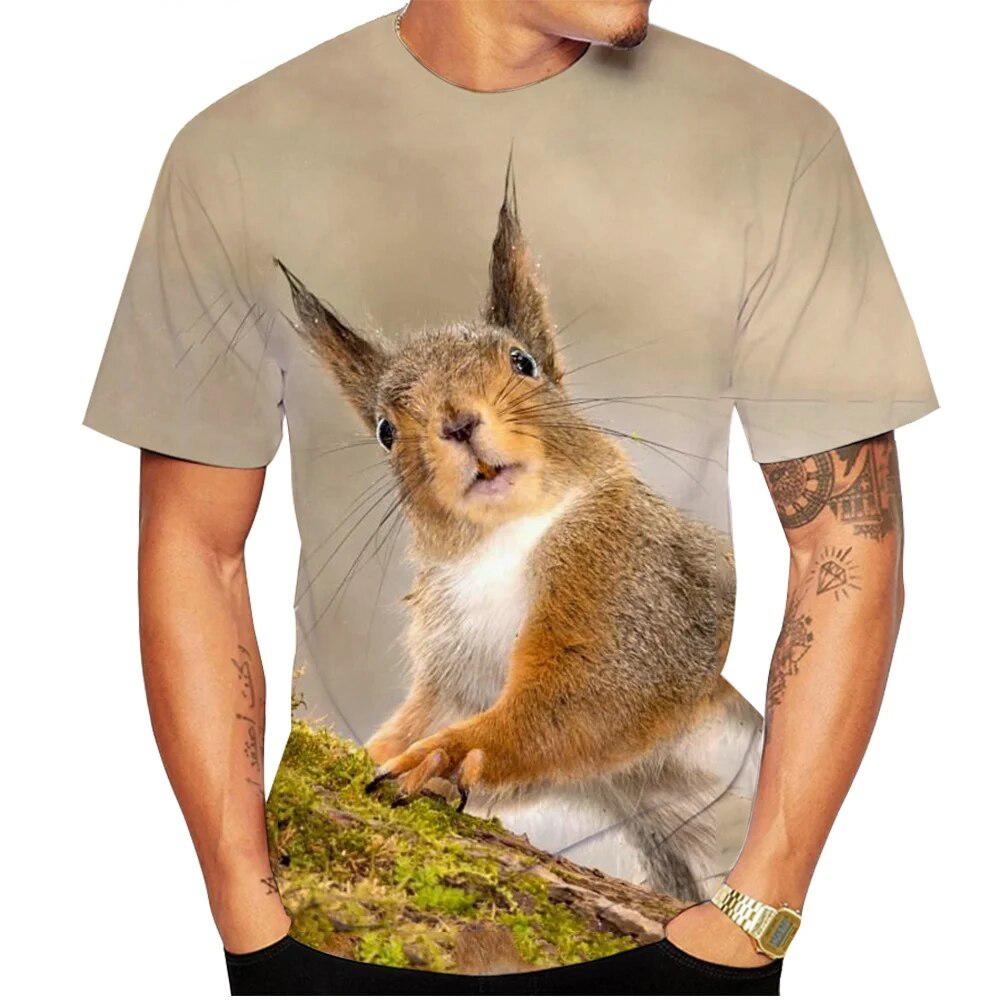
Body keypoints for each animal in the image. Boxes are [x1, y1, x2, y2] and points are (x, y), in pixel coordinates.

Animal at [276, 164, 762, 902]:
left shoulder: (635, 593)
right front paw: (385, 751)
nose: (457, 422)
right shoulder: (454, 667)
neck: (499, 545)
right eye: (385, 431)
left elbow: (578, 707)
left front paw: (439, 756)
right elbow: (425, 721)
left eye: (522, 362)